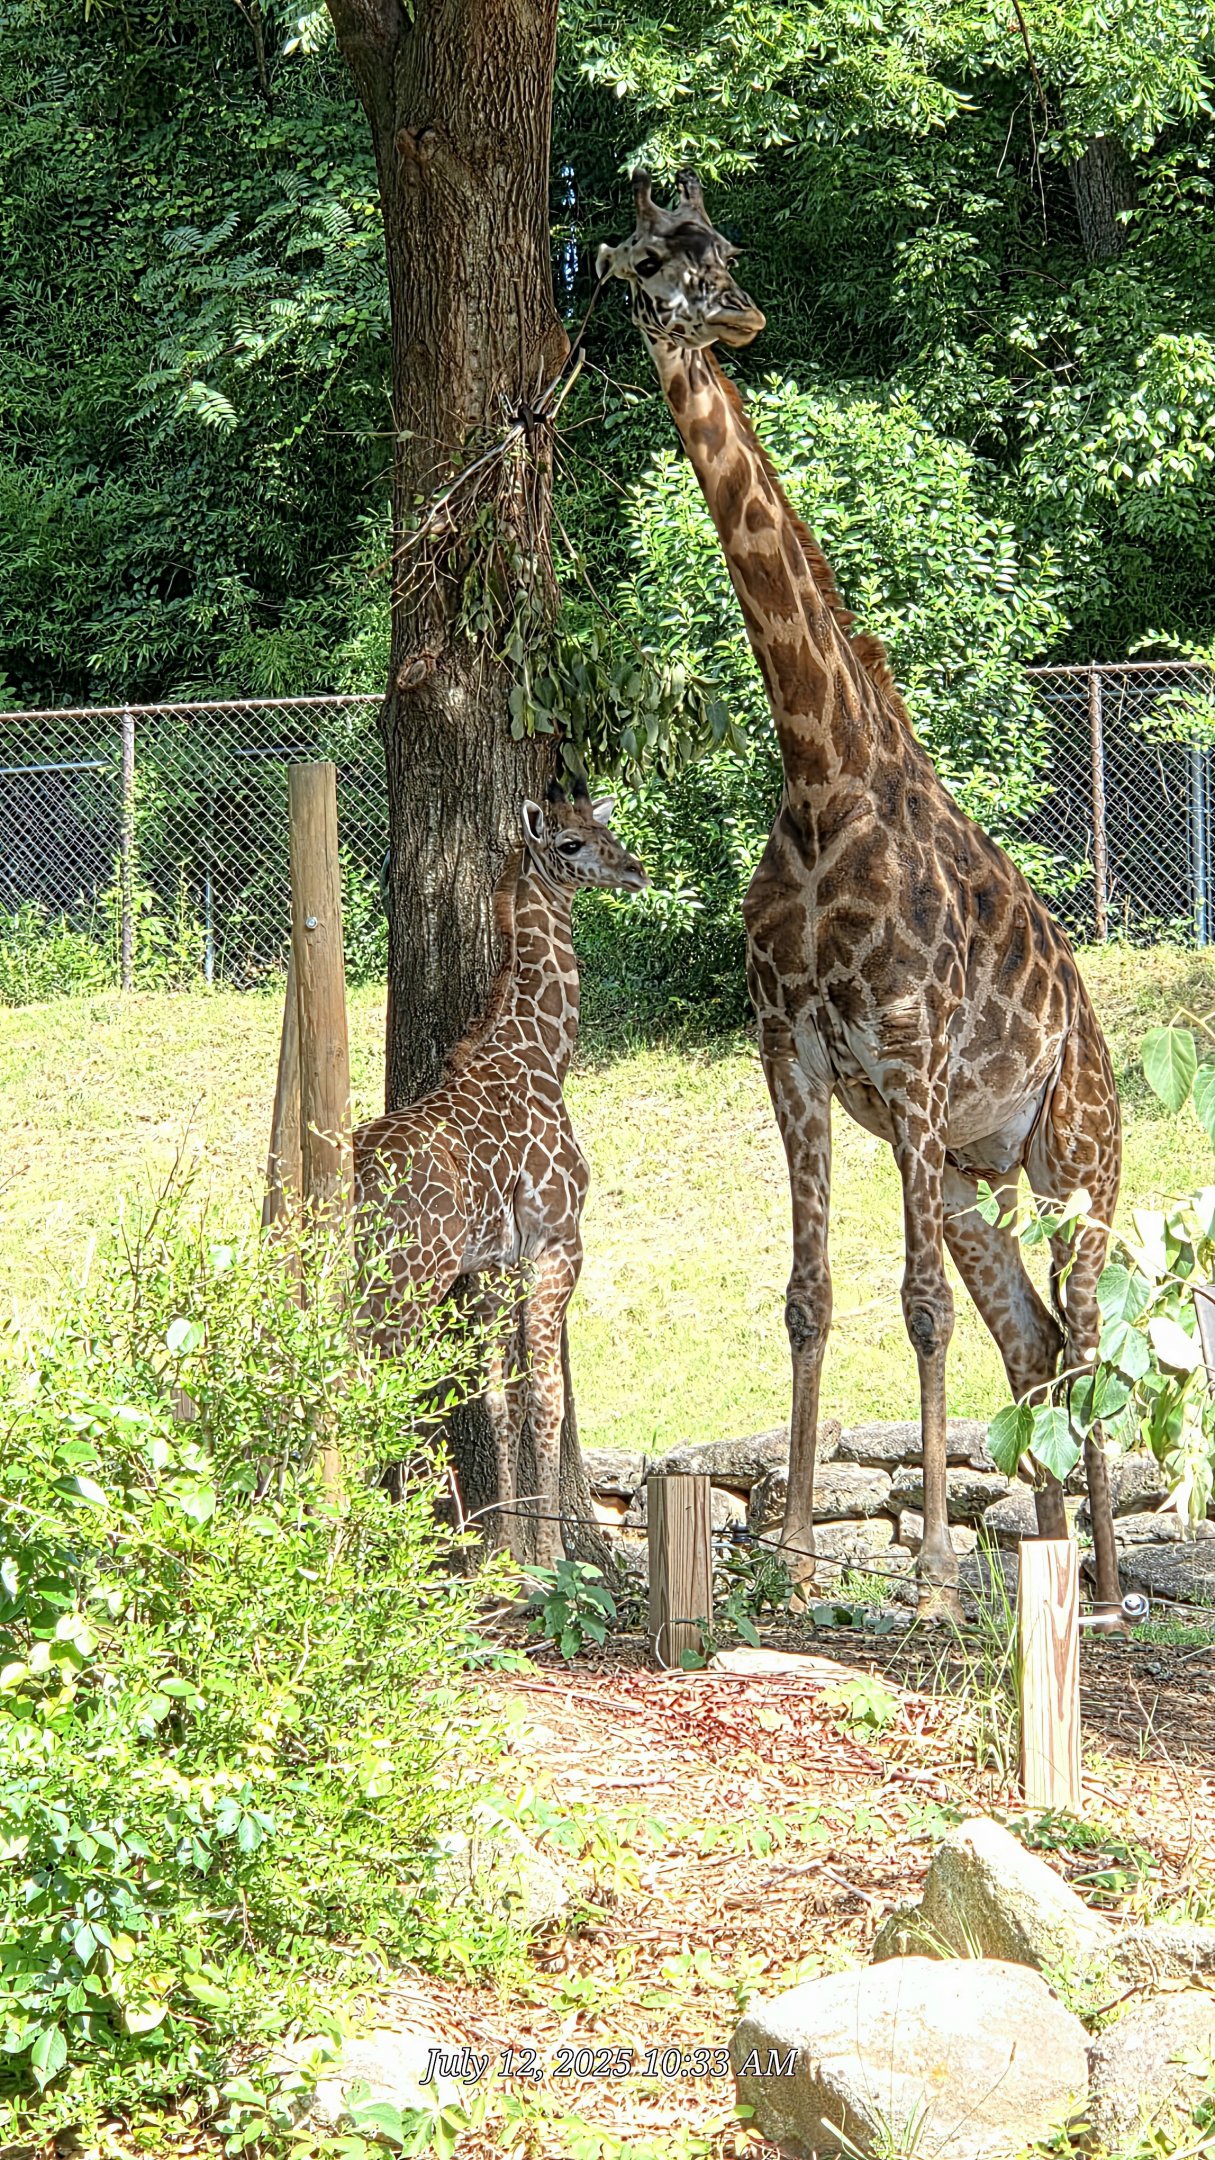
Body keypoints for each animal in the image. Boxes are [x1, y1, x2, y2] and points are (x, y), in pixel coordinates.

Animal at [354, 781, 646, 1568]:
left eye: (605, 828)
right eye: (569, 844)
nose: (634, 870)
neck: (544, 1054)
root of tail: (359, 1170)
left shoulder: (491, 1264)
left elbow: (496, 1398)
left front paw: (509, 1546)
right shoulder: (559, 1239)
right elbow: (545, 1392)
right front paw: (550, 1555)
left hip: (367, 1269)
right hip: (411, 1275)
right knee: (371, 1375)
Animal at [597, 171, 1122, 1617]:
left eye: (722, 249)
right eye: (649, 260)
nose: (729, 315)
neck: (821, 770)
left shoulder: (909, 1041)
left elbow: (914, 1310)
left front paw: (932, 1568)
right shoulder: (789, 1047)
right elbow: (812, 1293)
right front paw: (785, 1554)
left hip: (1079, 1159)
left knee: (1084, 1337)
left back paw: (1102, 1580)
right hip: (968, 1177)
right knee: (1034, 1340)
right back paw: (1046, 1556)